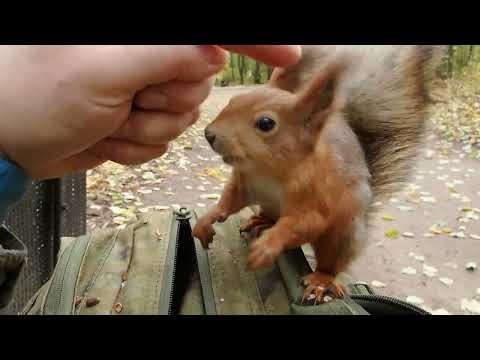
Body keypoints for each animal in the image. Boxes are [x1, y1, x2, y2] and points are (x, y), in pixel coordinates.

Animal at [191, 45, 442, 304]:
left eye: (265, 123)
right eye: (233, 100)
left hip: (342, 235)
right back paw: (261, 220)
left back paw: (321, 280)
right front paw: (206, 220)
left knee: (331, 260)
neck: (268, 169)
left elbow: (302, 224)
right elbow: (230, 200)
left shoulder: (316, 194)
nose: (209, 134)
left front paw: (266, 247)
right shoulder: (245, 181)